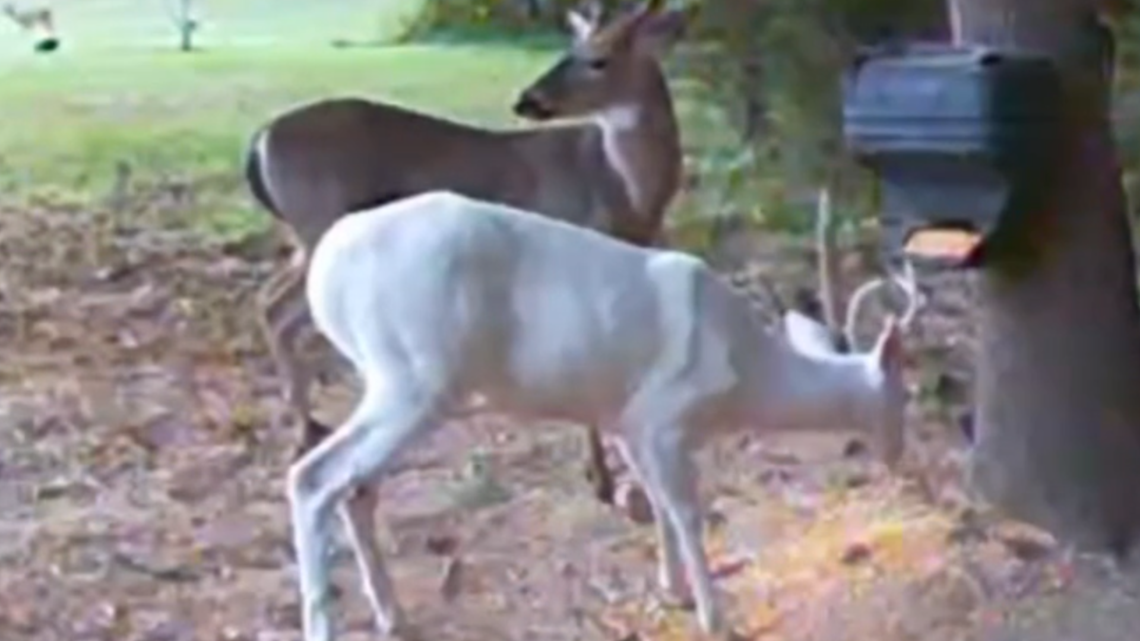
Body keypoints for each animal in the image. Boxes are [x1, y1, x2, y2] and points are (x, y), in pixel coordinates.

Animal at [243, 0, 686, 509]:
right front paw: (601, 478)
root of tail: (260, 140)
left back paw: (311, 426)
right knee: (277, 309)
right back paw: (306, 432)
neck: (622, 189)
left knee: (270, 301)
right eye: (570, 49)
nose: (527, 100)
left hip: (306, 240)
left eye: (599, 59)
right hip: (322, 230)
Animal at [287, 190, 917, 641]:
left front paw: (673, 591)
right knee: (312, 476)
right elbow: (687, 512)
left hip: (390, 379)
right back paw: (323, 625)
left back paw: (391, 615)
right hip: (415, 377)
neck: (747, 376)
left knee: (356, 488)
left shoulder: (628, 421)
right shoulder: (664, 414)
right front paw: (715, 617)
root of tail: (324, 274)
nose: (903, 455)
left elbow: (658, 505)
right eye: (902, 395)